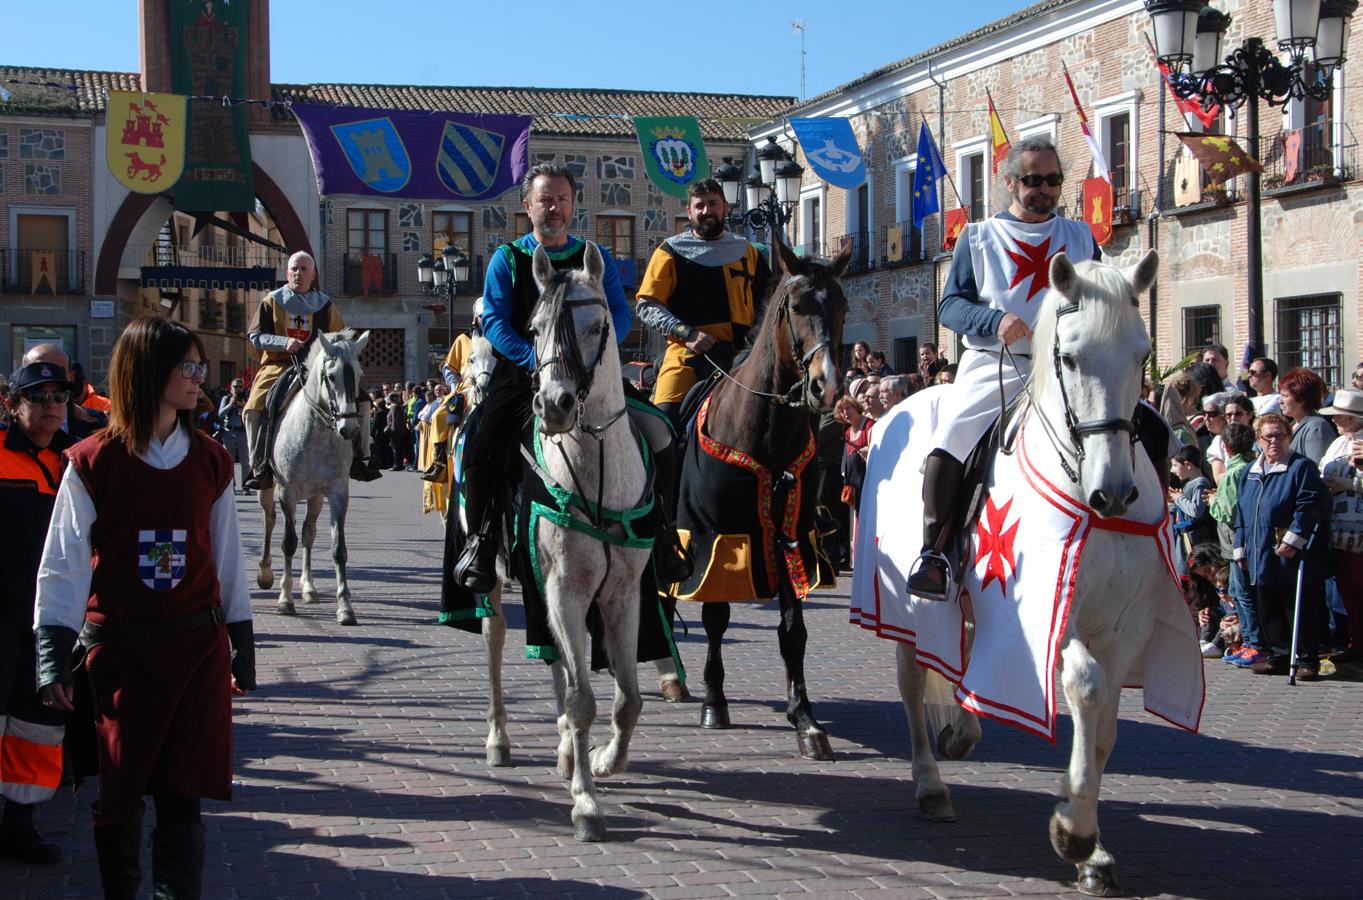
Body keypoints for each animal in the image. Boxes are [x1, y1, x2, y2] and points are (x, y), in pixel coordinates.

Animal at [256, 328, 370, 624]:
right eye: (330, 376)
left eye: (359, 373)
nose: (349, 428)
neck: (316, 431)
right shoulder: (288, 492)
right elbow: (288, 543)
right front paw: (285, 600)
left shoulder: (338, 493)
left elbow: (337, 549)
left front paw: (345, 607)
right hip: (268, 488)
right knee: (269, 521)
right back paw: (265, 573)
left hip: (317, 496)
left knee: (308, 532)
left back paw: (308, 588)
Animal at [673, 233, 850, 758]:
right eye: (795, 306)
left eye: (842, 306)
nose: (826, 386)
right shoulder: (716, 537)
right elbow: (715, 616)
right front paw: (715, 702)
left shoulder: (790, 536)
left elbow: (794, 630)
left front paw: (805, 718)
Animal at [861, 249, 1204, 894]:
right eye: (1067, 356)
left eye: (1143, 353)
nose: (1114, 492)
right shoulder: (1047, 613)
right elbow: (1086, 688)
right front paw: (1075, 834)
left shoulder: (1126, 626)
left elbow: (1106, 725)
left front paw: (1092, 850)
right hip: (907, 608)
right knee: (913, 681)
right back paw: (930, 782)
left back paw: (963, 731)